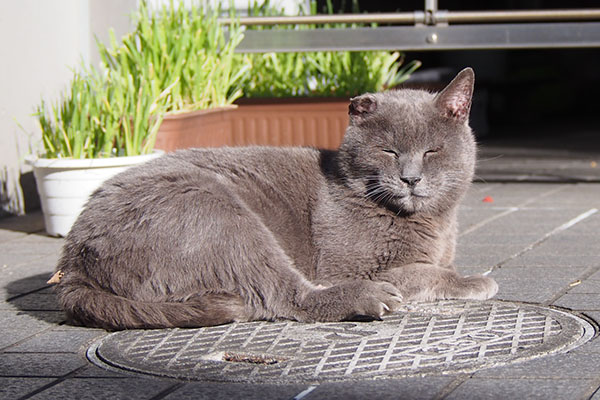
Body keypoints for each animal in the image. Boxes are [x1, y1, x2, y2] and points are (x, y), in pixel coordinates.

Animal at [55, 69, 496, 330]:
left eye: (432, 151)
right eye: (388, 151)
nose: (410, 178)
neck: (435, 223)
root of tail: (73, 260)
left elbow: (437, 267)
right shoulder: (350, 266)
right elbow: (425, 273)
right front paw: (475, 281)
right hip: (223, 217)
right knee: (286, 296)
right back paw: (369, 298)